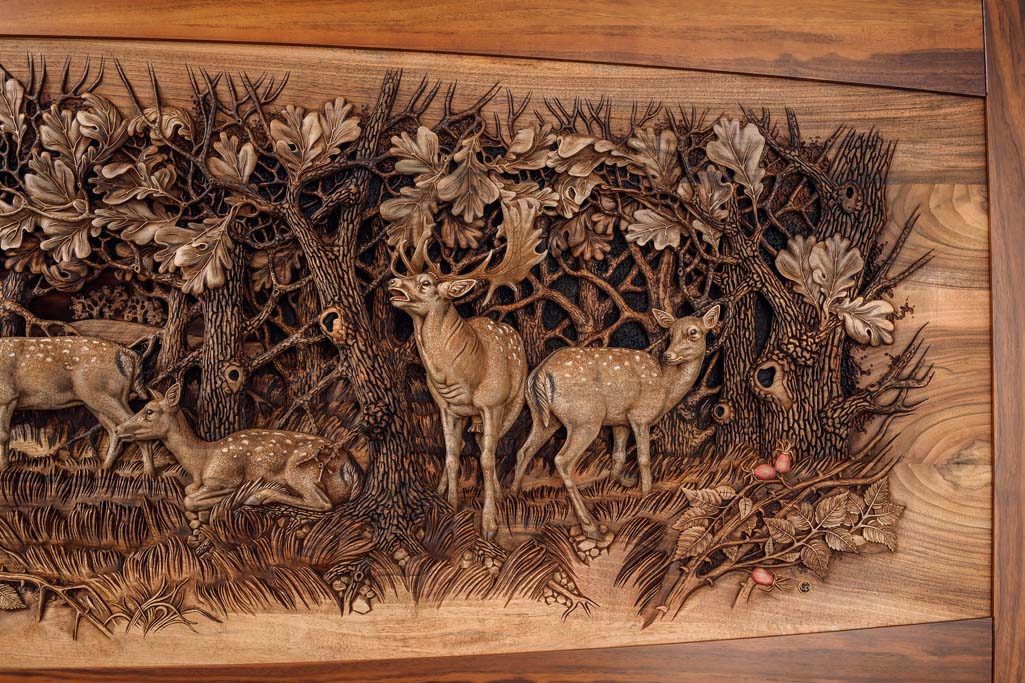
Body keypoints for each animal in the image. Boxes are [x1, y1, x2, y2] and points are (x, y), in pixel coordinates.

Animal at [0, 336, 156, 475]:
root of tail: (127, 352)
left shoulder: (7, 396)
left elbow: (4, 435)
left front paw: (4, 468)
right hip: (100, 399)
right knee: (114, 430)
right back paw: (104, 468)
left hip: (105, 395)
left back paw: (149, 474)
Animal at [115, 382, 363, 512]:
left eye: (149, 411)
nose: (118, 428)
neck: (200, 461)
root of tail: (347, 463)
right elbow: (188, 492)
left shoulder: (224, 477)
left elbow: (189, 499)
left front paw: (227, 500)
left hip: (300, 471)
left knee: (323, 503)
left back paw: (258, 496)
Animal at [386, 201, 544, 540]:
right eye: (411, 276)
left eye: (426, 283)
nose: (393, 283)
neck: (462, 376)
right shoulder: (445, 407)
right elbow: (451, 454)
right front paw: (450, 504)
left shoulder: (492, 404)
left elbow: (486, 457)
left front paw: (490, 524)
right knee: (468, 443)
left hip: (514, 403)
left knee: (492, 445)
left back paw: (502, 493)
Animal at [510, 305, 721, 540]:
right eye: (671, 333)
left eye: (693, 332)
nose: (669, 355)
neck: (666, 388)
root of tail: (540, 372)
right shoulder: (640, 415)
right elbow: (643, 458)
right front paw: (645, 494)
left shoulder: (620, 421)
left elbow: (618, 455)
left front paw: (618, 483)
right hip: (585, 418)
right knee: (562, 460)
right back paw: (590, 526)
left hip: (543, 417)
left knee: (524, 450)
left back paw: (514, 497)